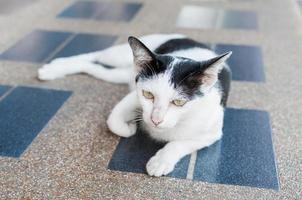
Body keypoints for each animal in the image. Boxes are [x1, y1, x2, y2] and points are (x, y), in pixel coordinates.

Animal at [37, 34, 231, 177]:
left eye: (179, 102)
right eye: (148, 95)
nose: (155, 120)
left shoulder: (212, 132)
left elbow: (180, 144)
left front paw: (161, 161)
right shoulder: (135, 95)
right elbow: (113, 120)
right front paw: (129, 128)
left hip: (122, 74)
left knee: (94, 68)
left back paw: (57, 68)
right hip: (121, 56)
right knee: (97, 54)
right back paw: (56, 66)